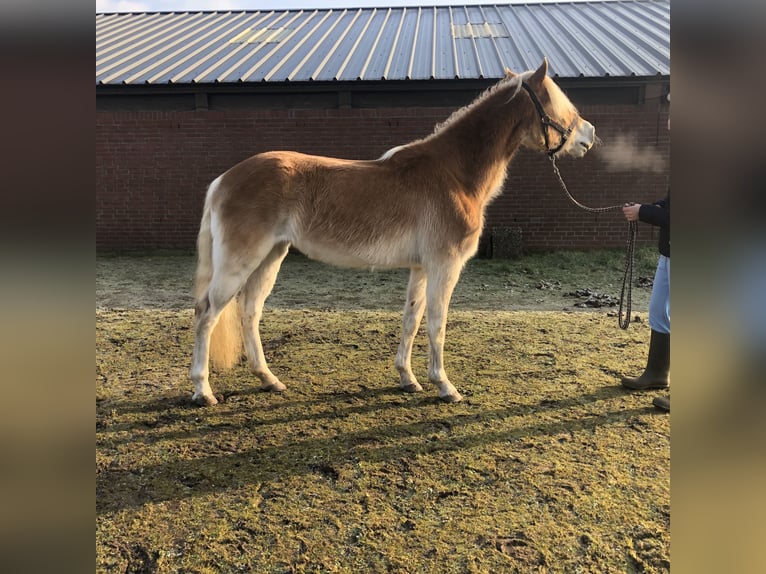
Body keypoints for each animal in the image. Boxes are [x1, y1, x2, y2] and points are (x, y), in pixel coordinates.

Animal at [192, 58, 600, 408]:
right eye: (561, 102)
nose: (590, 135)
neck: (454, 173)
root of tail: (222, 181)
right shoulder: (444, 265)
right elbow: (437, 323)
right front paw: (444, 386)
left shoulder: (420, 268)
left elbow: (412, 319)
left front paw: (408, 378)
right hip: (240, 262)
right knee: (207, 313)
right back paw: (202, 391)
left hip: (271, 257)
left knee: (249, 312)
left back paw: (269, 380)